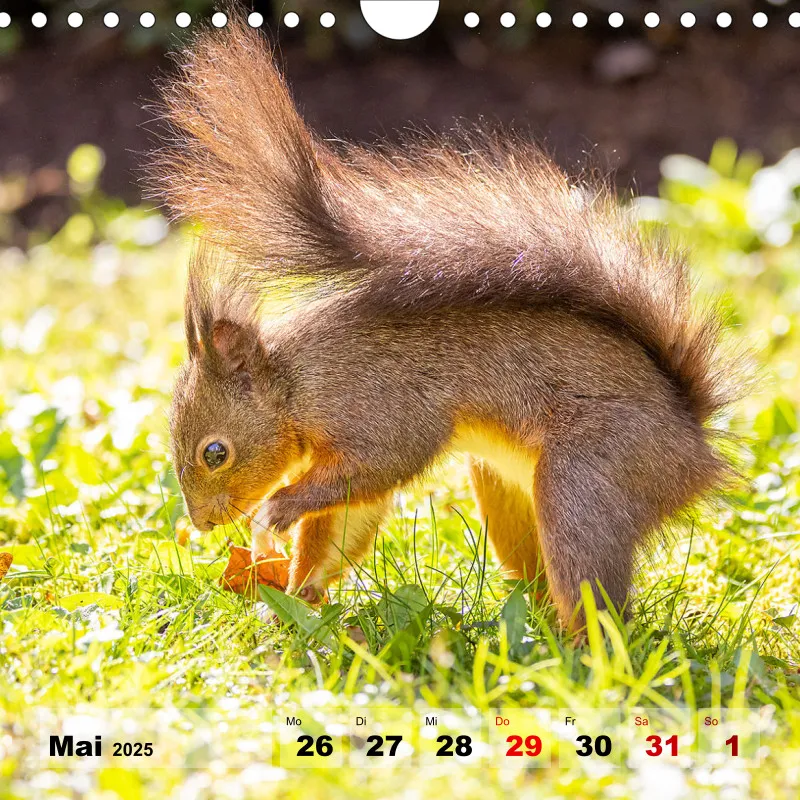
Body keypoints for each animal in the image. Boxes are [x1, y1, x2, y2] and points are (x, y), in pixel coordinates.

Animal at [152, 19, 741, 632]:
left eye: (214, 452)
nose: (201, 523)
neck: (295, 385)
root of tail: (692, 445)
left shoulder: (379, 409)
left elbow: (377, 468)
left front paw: (276, 513)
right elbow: (345, 521)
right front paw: (299, 598)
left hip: (587, 482)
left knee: (599, 603)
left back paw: (579, 648)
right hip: (505, 487)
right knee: (539, 581)